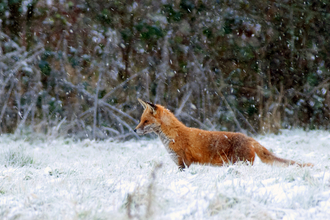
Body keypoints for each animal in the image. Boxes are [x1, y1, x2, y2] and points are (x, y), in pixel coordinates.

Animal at [133, 99, 312, 170]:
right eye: (141, 120)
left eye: (146, 121)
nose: (134, 130)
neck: (173, 136)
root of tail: (248, 137)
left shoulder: (183, 163)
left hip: (241, 164)